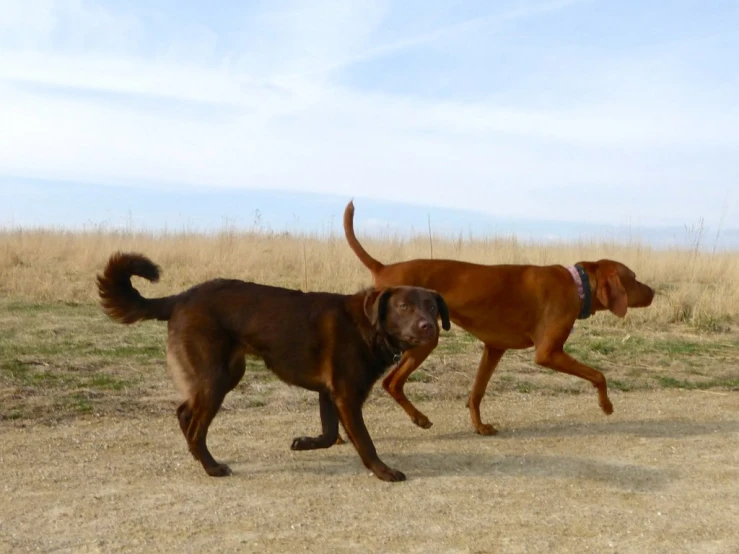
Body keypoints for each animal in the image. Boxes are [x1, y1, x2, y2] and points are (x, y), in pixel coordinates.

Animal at [95, 250, 448, 478]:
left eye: (431, 306)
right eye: (403, 307)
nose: (428, 327)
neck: (367, 326)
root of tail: (180, 298)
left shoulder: (329, 393)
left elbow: (329, 432)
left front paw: (306, 443)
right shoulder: (347, 396)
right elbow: (365, 441)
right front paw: (384, 471)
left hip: (228, 372)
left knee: (184, 413)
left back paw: (199, 458)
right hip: (215, 378)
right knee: (194, 425)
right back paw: (212, 467)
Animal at [344, 201, 656, 434]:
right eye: (633, 277)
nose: (653, 291)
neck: (577, 284)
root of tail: (384, 267)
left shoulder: (494, 348)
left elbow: (476, 393)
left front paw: (480, 426)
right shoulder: (548, 353)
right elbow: (598, 374)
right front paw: (606, 406)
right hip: (423, 339)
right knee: (391, 383)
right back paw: (418, 419)